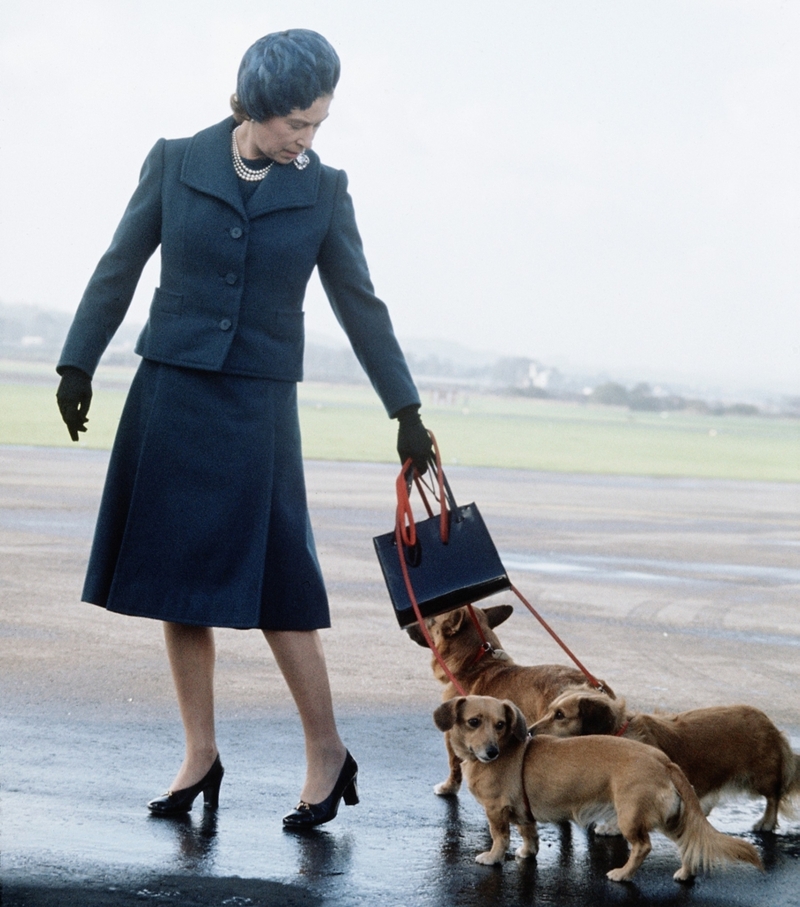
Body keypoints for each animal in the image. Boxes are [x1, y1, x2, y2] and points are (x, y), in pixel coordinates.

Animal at [432, 700, 764, 884]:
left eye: (500, 724)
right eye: (474, 721)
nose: (491, 752)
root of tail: (664, 761)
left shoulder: (496, 811)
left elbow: (500, 837)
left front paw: (492, 857)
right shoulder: (524, 814)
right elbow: (529, 835)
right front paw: (527, 853)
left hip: (631, 816)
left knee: (642, 847)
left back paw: (623, 874)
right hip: (670, 819)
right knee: (688, 844)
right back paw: (685, 874)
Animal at [528, 688, 796, 828]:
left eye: (560, 715)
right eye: (550, 710)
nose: (529, 731)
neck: (619, 733)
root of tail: (768, 723)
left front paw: (612, 828)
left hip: (760, 777)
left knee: (774, 797)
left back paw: (766, 822)